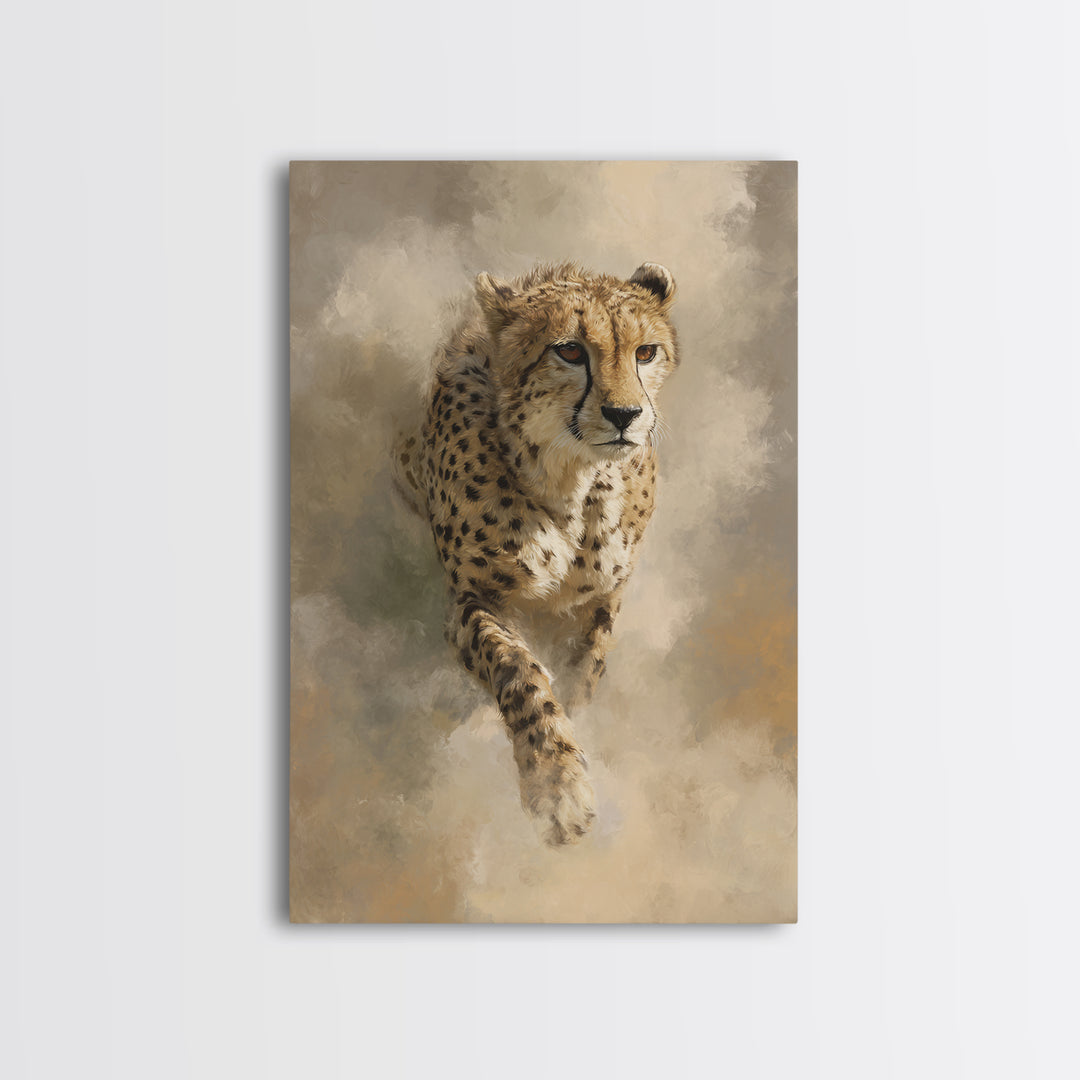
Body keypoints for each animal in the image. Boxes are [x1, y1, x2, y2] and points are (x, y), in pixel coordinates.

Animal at [393, 261, 679, 846]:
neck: (572, 482)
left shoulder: (602, 599)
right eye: (569, 351)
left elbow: (585, 669)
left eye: (646, 352)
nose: (625, 414)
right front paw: (558, 785)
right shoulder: (474, 599)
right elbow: (520, 672)